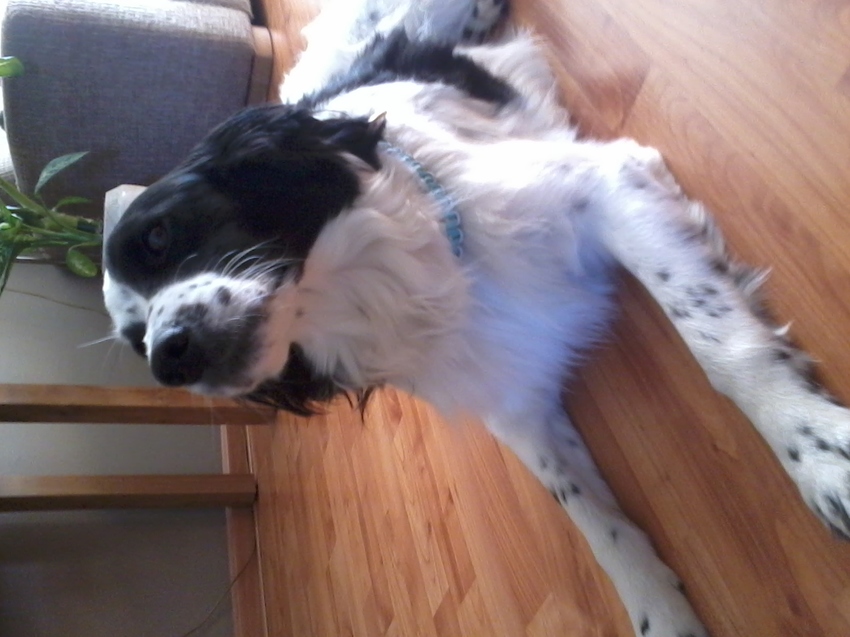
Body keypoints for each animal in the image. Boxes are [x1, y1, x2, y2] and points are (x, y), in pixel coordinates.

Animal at [102, 1, 850, 634]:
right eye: (135, 341)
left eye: (159, 236)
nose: (168, 357)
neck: (420, 280)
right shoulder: (511, 391)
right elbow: (585, 510)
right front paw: (657, 609)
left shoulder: (608, 183)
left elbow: (719, 344)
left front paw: (818, 450)